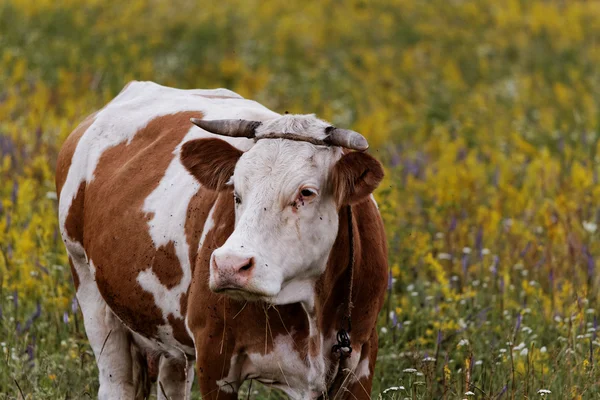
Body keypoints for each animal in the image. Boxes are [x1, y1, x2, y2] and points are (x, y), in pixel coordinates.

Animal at [54, 82, 386, 400]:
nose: (230, 265)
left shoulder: (361, 362)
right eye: (235, 191)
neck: (312, 309)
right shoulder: (213, 355)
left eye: (306, 192)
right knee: (117, 382)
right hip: (92, 294)